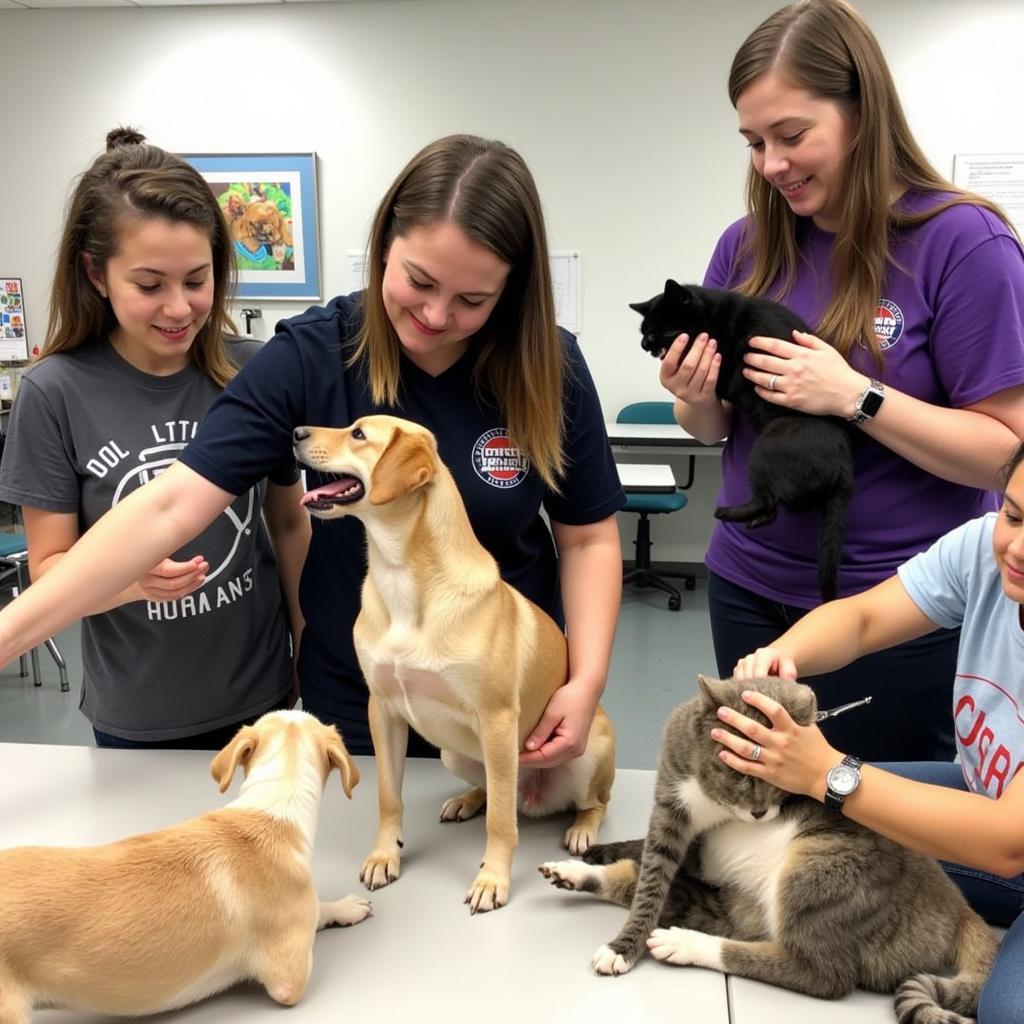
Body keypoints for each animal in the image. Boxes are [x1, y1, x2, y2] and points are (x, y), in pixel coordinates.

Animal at [296, 413, 614, 913]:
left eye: (359, 434)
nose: (295, 434)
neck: (403, 577)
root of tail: (536, 798)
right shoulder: (382, 711)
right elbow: (389, 797)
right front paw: (385, 856)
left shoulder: (498, 719)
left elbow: (501, 823)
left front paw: (492, 879)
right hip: (455, 752)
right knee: (493, 789)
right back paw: (466, 800)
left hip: (585, 754)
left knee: (586, 802)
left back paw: (581, 829)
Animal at [540, 675, 995, 1019]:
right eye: (736, 773)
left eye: (779, 778)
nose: (759, 813)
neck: (716, 804)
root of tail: (958, 907)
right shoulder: (672, 812)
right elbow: (648, 876)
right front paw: (600, 867)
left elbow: (648, 882)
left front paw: (622, 948)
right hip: (736, 903)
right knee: (680, 901)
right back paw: (575, 874)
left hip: (815, 868)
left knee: (823, 974)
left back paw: (685, 944)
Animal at [630, 280, 856, 598]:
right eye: (643, 331)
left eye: (656, 330)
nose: (644, 344)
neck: (714, 318)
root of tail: (844, 466)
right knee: (772, 509)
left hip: (764, 451)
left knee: (768, 502)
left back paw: (729, 512)